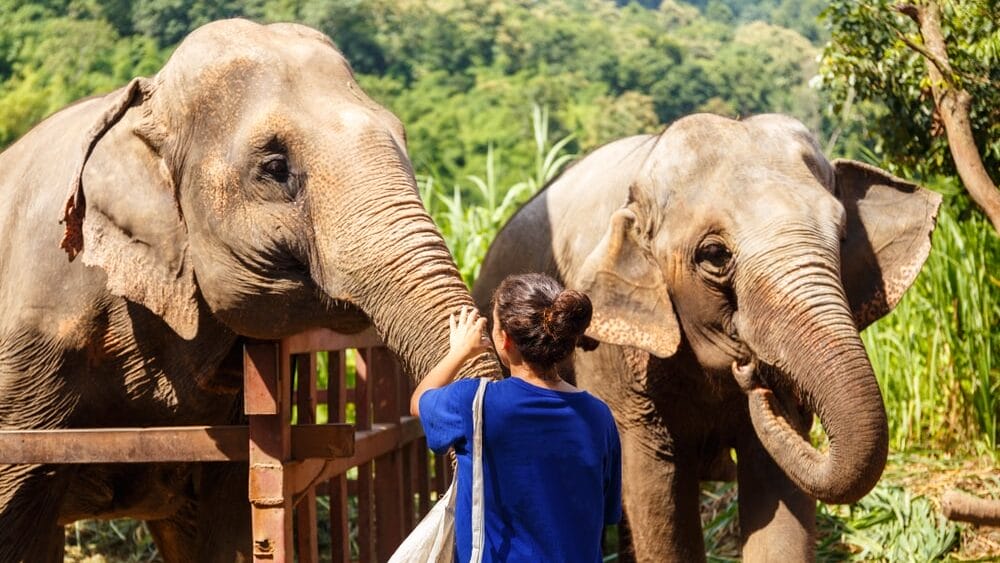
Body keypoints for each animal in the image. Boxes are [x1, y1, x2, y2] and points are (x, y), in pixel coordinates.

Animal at [472, 112, 940, 560]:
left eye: (842, 236)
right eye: (714, 255)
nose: (755, 376)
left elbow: (777, 490)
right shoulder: (612, 361)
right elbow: (655, 492)